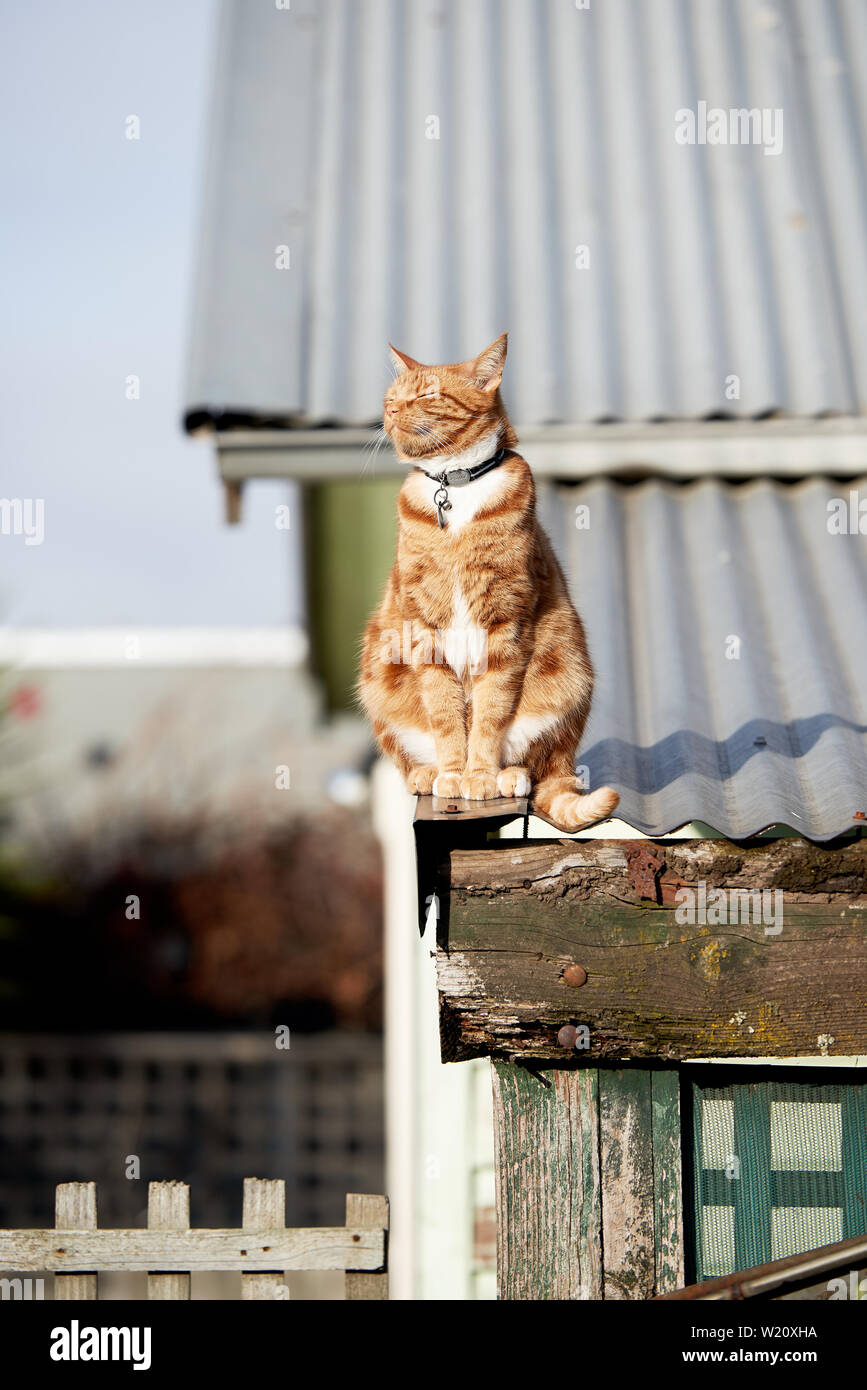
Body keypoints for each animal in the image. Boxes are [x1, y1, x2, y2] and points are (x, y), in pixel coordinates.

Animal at [355, 333, 619, 834]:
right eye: (391, 397)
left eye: (427, 394)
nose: (391, 410)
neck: (455, 485)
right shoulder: (423, 624)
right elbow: (445, 712)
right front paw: (454, 773)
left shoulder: (505, 621)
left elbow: (489, 710)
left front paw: (478, 775)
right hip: (378, 677)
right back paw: (428, 772)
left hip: (568, 679)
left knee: (539, 766)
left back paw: (509, 776)